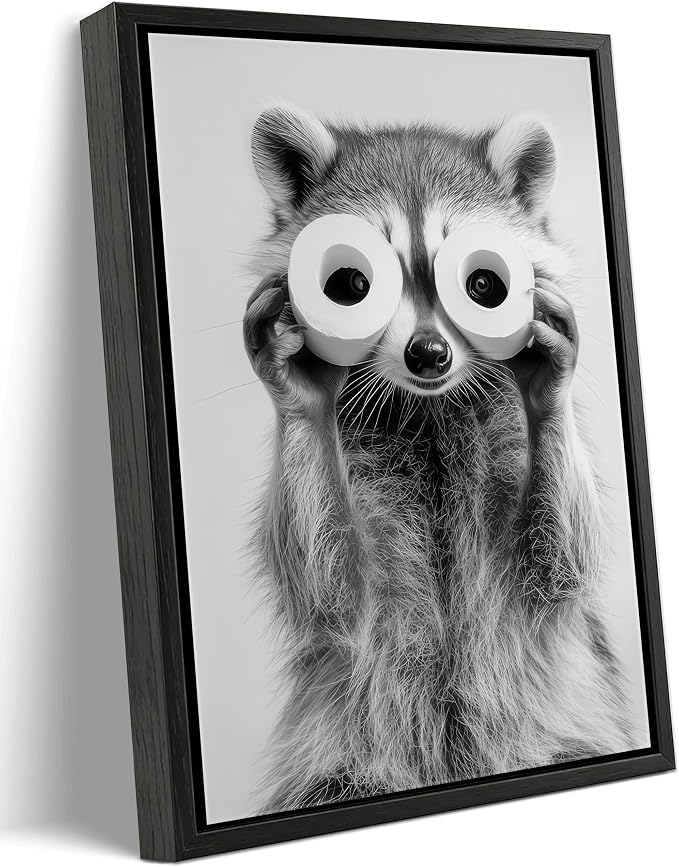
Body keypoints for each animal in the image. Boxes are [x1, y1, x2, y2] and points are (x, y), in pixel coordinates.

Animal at [244, 105, 632, 813]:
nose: (429, 354)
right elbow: (333, 592)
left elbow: (560, 563)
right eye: (352, 284)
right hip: (347, 759)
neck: (429, 408)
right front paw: (297, 394)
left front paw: (551, 391)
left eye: (482, 284)